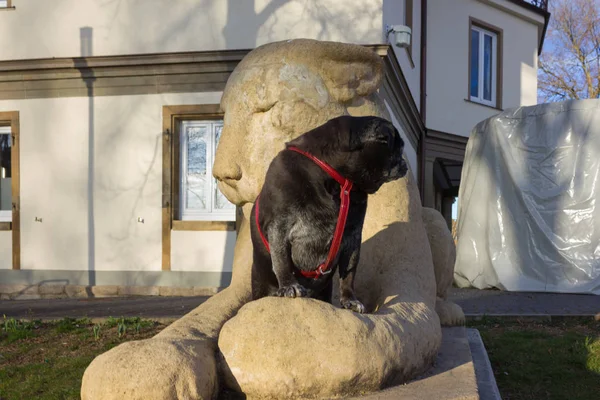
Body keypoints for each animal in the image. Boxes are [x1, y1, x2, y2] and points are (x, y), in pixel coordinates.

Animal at [248, 115, 408, 312]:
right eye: (397, 148)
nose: (405, 164)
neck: (337, 180)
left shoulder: (352, 238)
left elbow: (349, 275)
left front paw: (350, 300)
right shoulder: (279, 226)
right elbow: (281, 260)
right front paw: (288, 285)